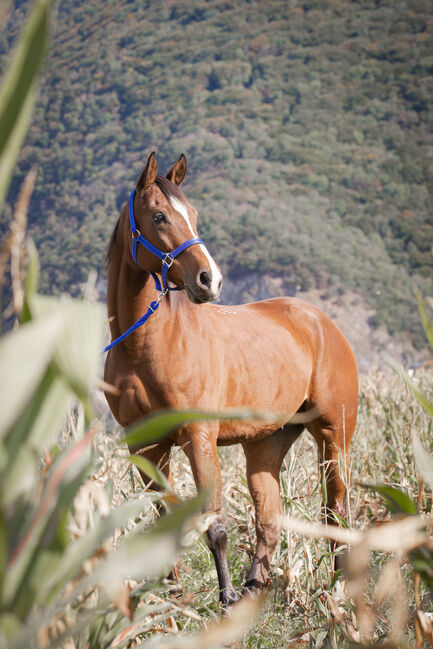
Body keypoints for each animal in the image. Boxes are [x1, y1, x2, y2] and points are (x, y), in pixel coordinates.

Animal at [103, 151, 356, 604]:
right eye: (160, 216)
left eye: (193, 214)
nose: (210, 279)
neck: (147, 348)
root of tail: (321, 322)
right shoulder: (146, 445)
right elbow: (164, 516)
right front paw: (173, 594)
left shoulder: (199, 437)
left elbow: (215, 524)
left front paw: (224, 597)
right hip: (267, 444)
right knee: (269, 518)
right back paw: (255, 587)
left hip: (334, 437)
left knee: (336, 511)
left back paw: (338, 590)